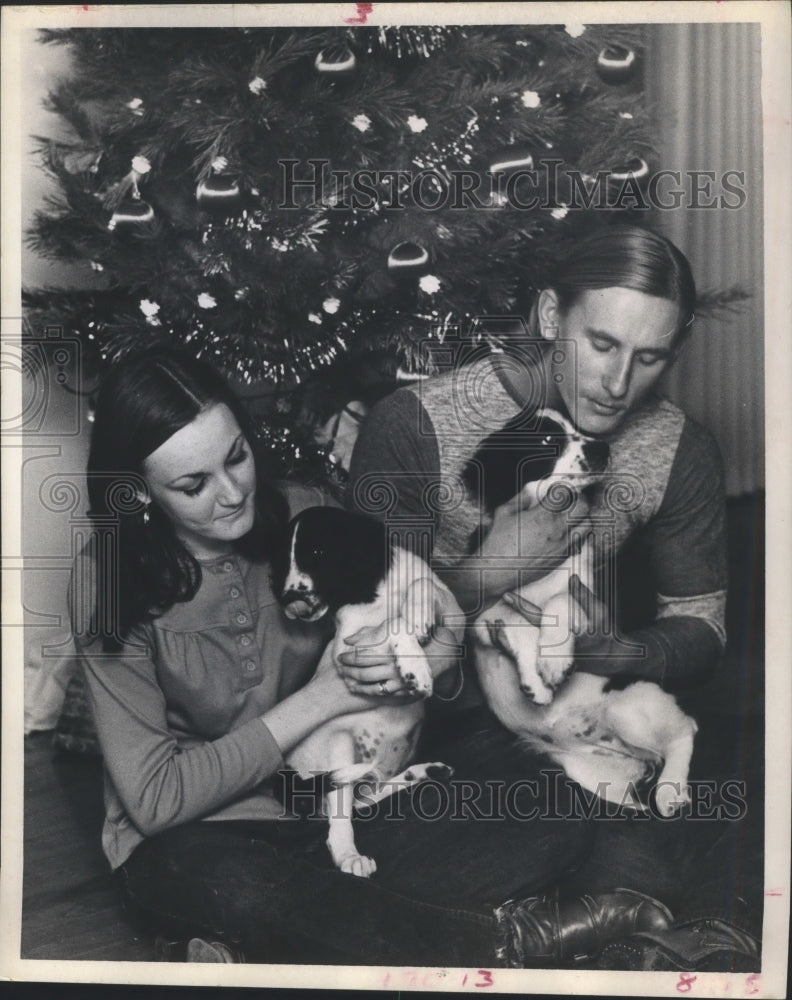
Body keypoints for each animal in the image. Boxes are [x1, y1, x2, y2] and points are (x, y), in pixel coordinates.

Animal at [272, 508, 458, 876]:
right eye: (284, 560)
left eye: (318, 552)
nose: (287, 599)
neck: (375, 594)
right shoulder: (348, 648)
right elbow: (390, 626)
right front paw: (414, 664)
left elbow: (422, 584)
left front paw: (417, 614)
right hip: (338, 749)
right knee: (341, 815)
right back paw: (349, 856)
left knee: (365, 797)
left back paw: (423, 772)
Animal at [468, 410, 696, 816]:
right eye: (547, 440)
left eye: (578, 428)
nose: (602, 447)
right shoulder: (479, 617)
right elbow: (513, 616)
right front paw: (537, 680)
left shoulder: (591, 599)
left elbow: (560, 602)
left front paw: (553, 661)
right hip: (591, 770)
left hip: (632, 705)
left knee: (686, 730)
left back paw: (670, 789)